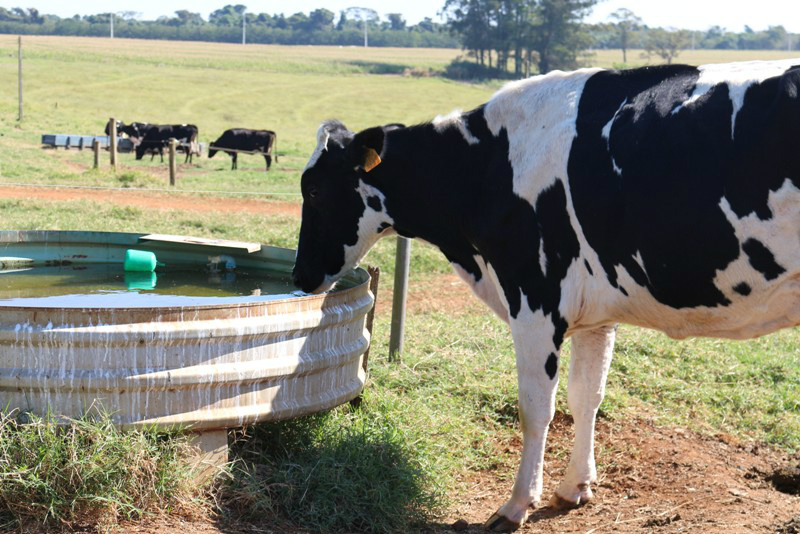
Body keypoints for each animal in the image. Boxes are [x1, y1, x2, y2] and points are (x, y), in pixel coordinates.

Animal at [290, 57, 800, 532]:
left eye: (313, 190)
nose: (299, 274)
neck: (487, 165)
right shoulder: (597, 312)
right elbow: (586, 396)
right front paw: (575, 487)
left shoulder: (534, 299)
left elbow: (535, 408)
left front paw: (517, 504)